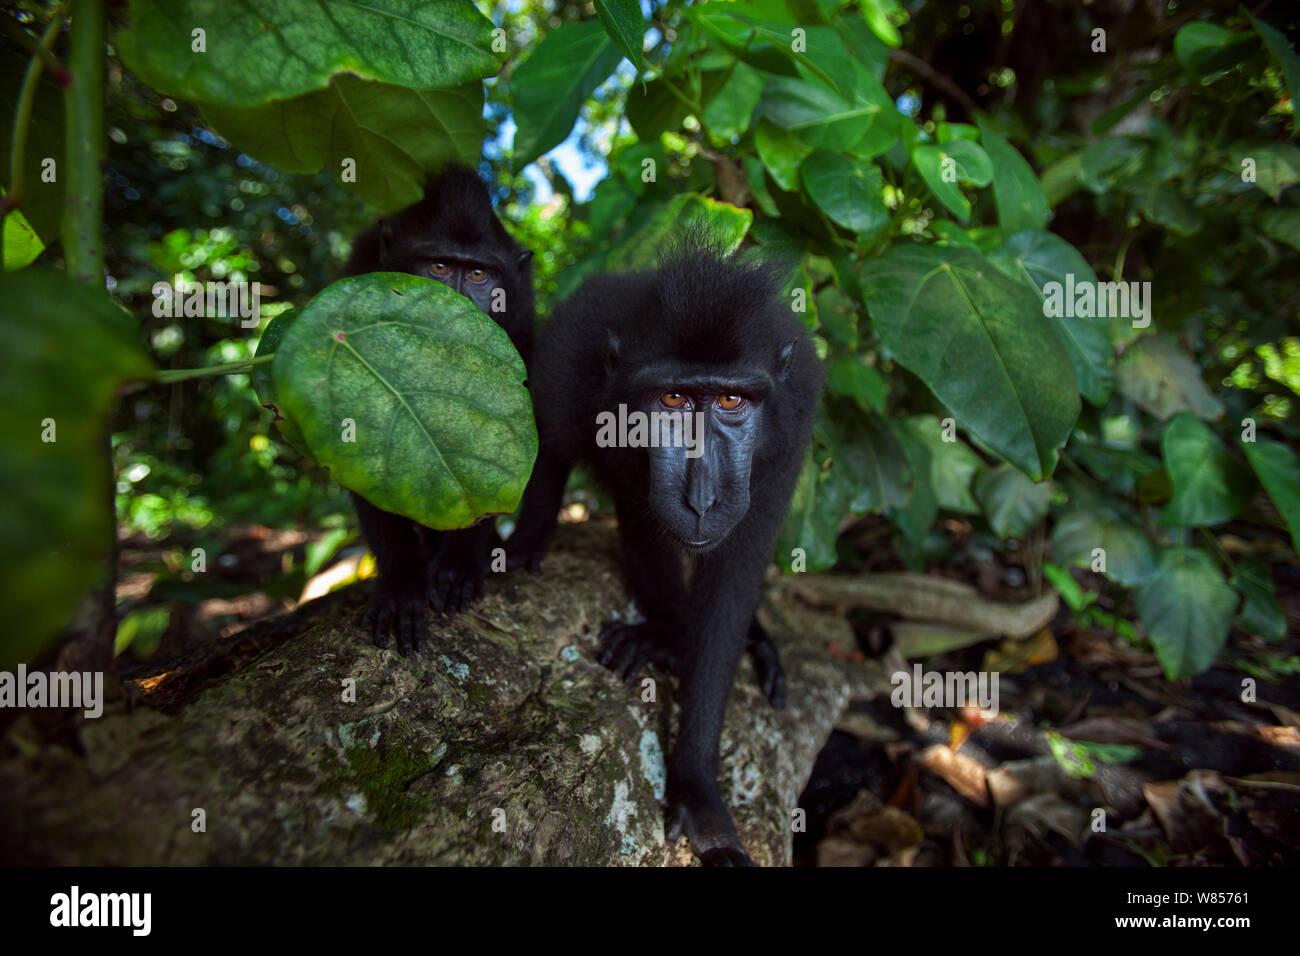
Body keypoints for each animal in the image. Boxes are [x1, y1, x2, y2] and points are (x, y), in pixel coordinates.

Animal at [342, 165, 535, 655]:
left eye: (480, 274)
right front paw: (400, 585)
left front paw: (461, 564)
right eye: (440, 268)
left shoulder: (522, 321)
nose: (459, 307)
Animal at [506, 234, 821, 865]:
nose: (701, 497)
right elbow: (552, 446)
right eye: (672, 398)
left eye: (732, 400)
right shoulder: (568, 367)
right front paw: (668, 631)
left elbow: (730, 588)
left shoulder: (792, 425)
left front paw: (697, 786)